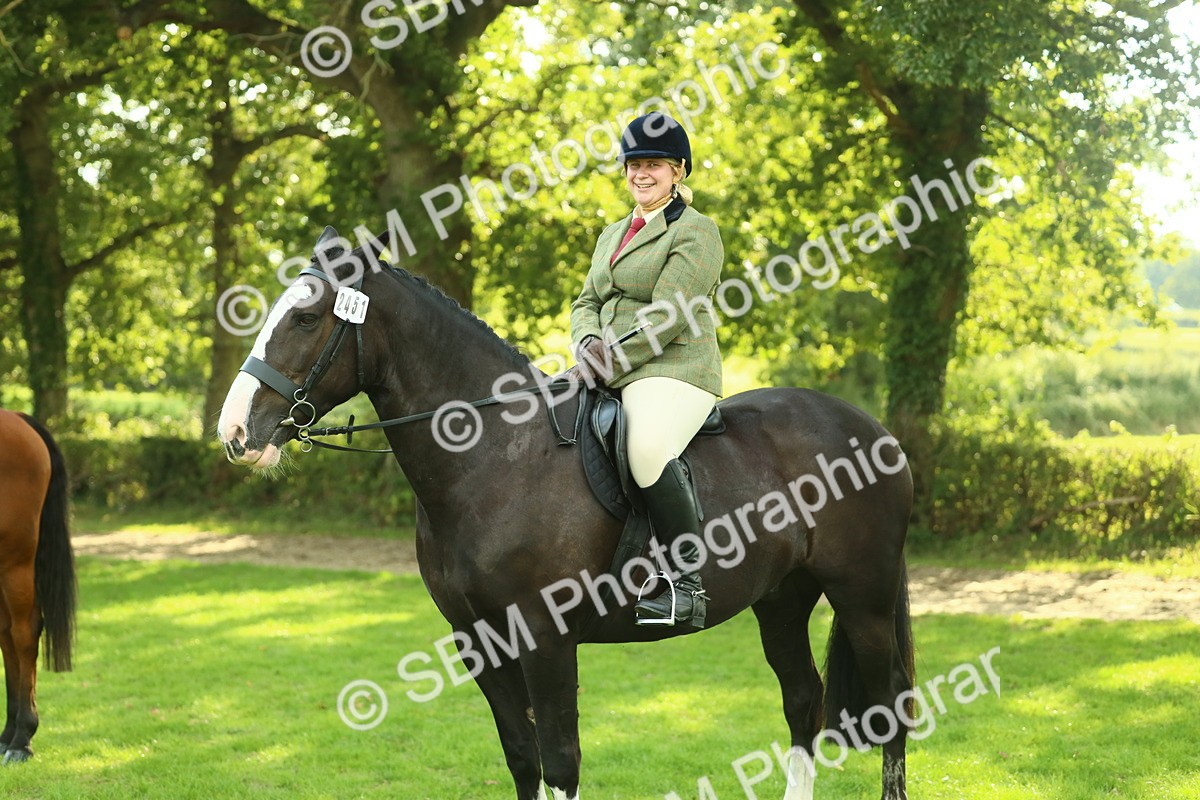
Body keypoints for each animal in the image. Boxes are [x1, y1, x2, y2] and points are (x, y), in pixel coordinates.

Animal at [217, 229, 915, 800]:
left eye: (306, 317)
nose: (235, 433)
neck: (496, 454)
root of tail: (873, 428)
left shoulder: (544, 637)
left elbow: (560, 762)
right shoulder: (478, 640)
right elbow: (523, 758)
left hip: (863, 597)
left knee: (890, 710)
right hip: (782, 599)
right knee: (804, 701)